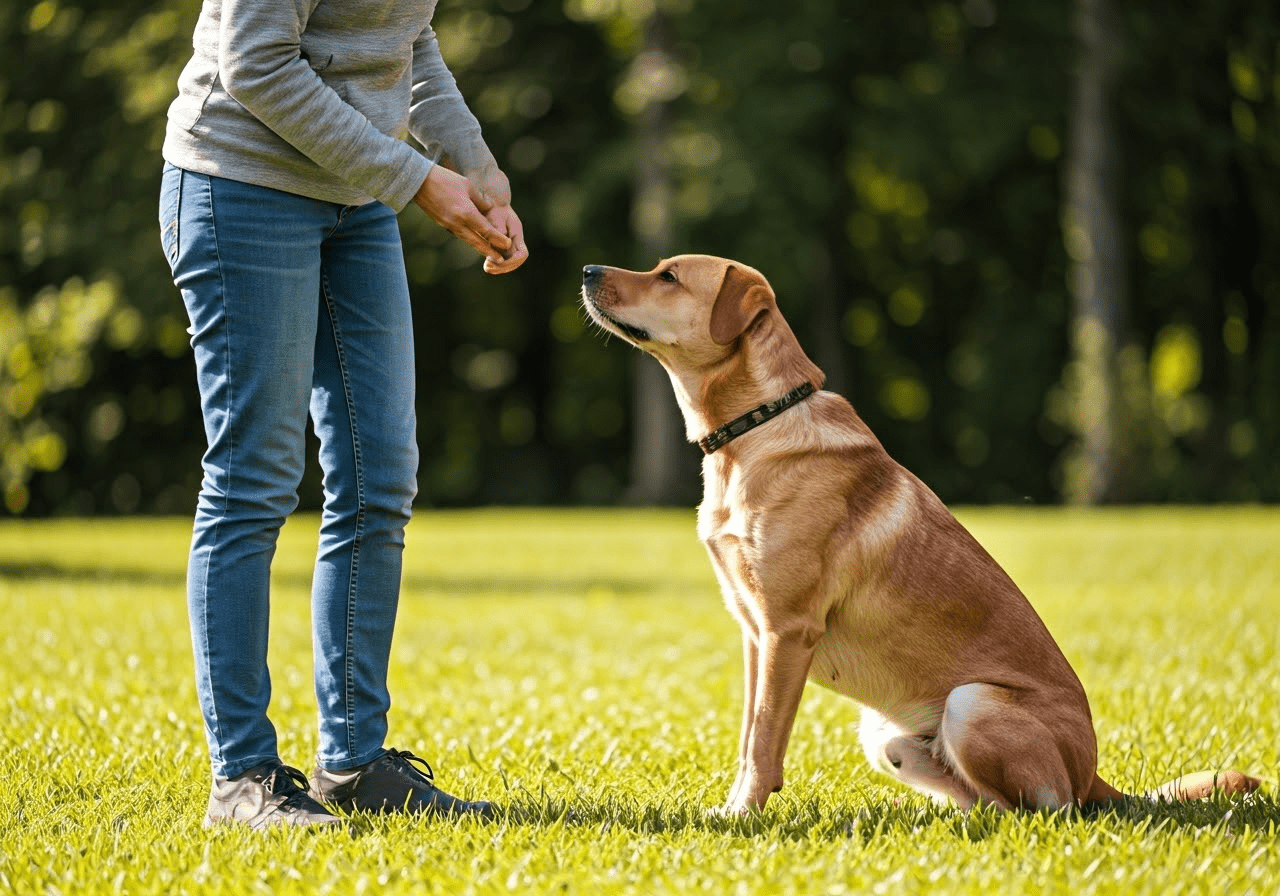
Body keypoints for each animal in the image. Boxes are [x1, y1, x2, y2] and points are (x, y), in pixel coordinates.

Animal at [586, 252, 1264, 814]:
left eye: (669, 276)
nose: (589, 270)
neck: (755, 428)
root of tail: (1096, 777)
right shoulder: (756, 632)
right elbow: (751, 732)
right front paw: (733, 808)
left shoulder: (788, 630)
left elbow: (763, 743)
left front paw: (740, 818)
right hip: (883, 734)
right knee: (986, 802)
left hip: (971, 704)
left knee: (1045, 811)